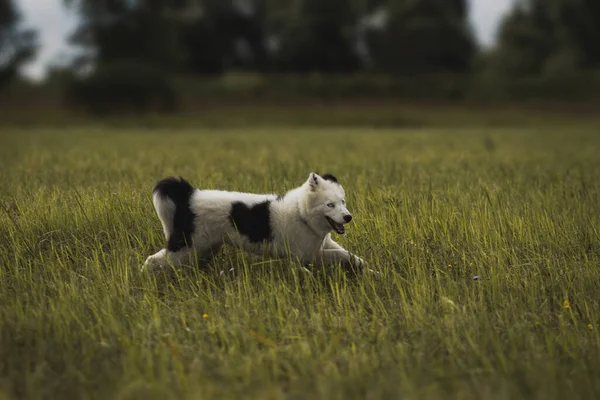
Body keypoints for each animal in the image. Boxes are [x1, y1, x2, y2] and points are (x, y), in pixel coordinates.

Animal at [143, 173, 366, 276]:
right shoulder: (305, 256)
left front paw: (368, 270)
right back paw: (145, 276)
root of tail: (189, 195)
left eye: (343, 202)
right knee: (152, 260)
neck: (302, 213)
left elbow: (349, 256)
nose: (348, 217)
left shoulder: (321, 247)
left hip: (204, 248)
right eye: (330, 204)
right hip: (185, 246)